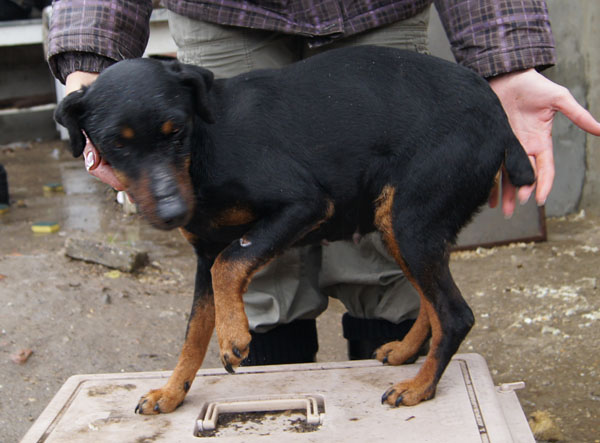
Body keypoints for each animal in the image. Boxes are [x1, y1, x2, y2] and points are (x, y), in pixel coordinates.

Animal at [55, 46, 536, 414]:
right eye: (115, 144)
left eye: (177, 132)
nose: (173, 212)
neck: (206, 147)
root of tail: (501, 121)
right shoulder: (205, 253)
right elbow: (194, 330)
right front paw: (172, 392)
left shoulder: (303, 205)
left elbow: (230, 265)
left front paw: (233, 338)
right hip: (403, 228)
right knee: (432, 303)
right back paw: (405, 352)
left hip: (409, 223)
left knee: (455, 313)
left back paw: (420, 388)